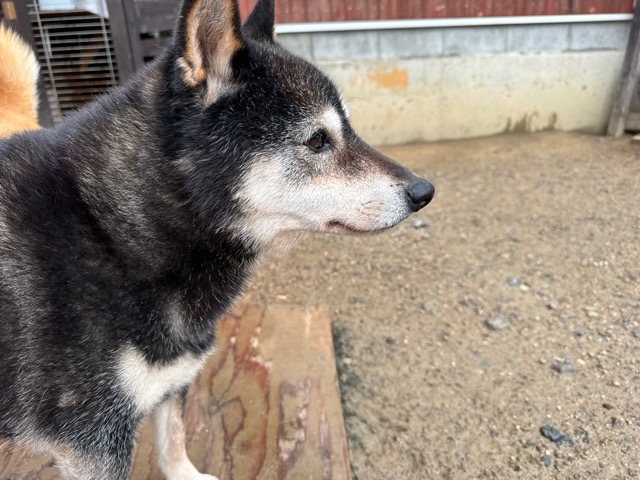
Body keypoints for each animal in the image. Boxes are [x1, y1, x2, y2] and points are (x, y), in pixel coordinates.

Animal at [0, 0, 434, 478]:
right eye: (318, 140)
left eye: (350, 131)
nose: (423, 192)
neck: (111, 228)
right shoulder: (93, 439)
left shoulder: (172, 379)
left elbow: (173, 442)